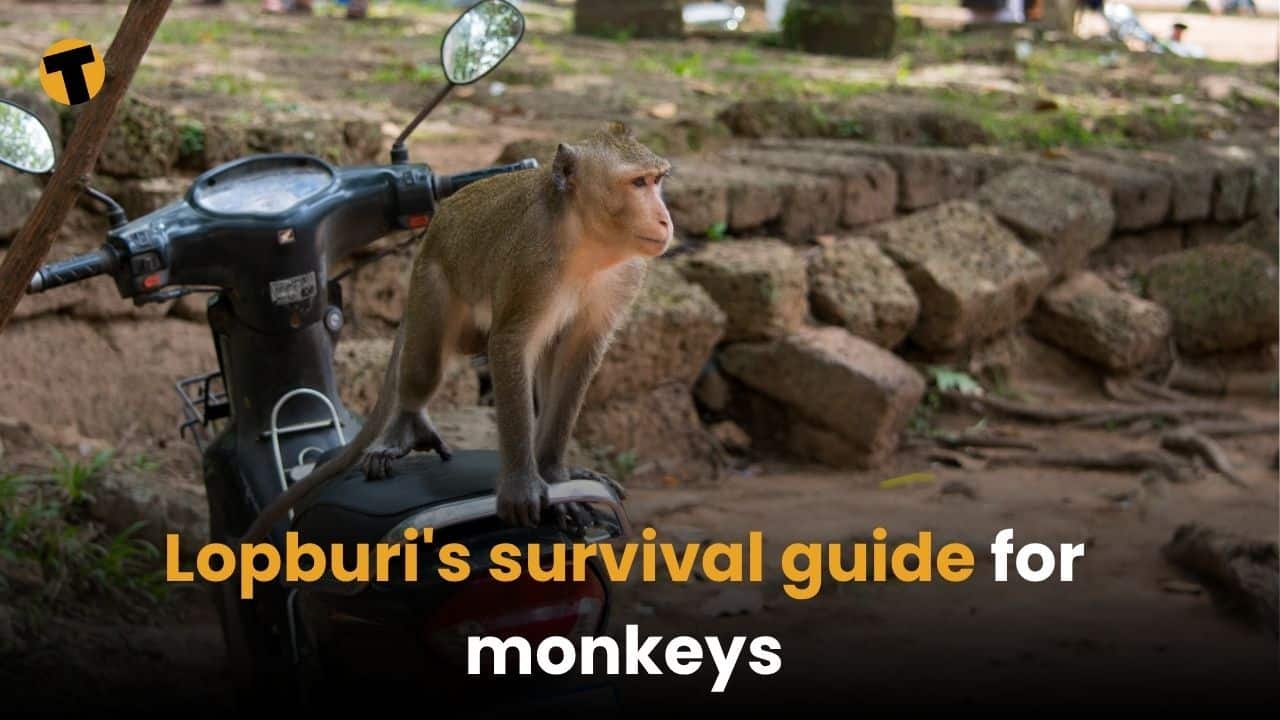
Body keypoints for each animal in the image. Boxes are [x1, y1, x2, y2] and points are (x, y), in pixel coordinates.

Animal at [240, 121, 673, 544]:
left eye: (657, 180)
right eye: (638, 183)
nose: (665, 220)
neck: (585, 241)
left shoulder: (626, 275)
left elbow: (579, 354)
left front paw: (555, 474)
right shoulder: (533, 265)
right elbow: (511, 344)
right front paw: (522, 484)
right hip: (431, 286)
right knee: (425, 367)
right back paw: (405, 427)